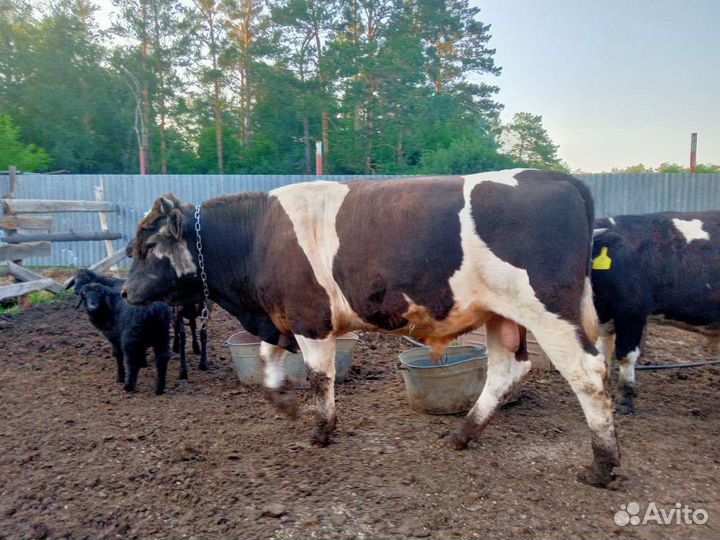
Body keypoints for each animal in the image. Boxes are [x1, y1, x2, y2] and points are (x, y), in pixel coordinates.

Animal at [121, 169, 620, 487]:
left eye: (145, 246)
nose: (124, 292)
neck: (256, 236)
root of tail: (557, 177)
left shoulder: (310, 318)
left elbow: (319, 377)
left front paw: (322, 430)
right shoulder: (280, 317)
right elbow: (267, 358)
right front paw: (283, 403)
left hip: (548, 312)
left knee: (588, 374)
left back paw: (603, 464)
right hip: (502, 316)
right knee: (506, 370)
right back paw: (463, 434)